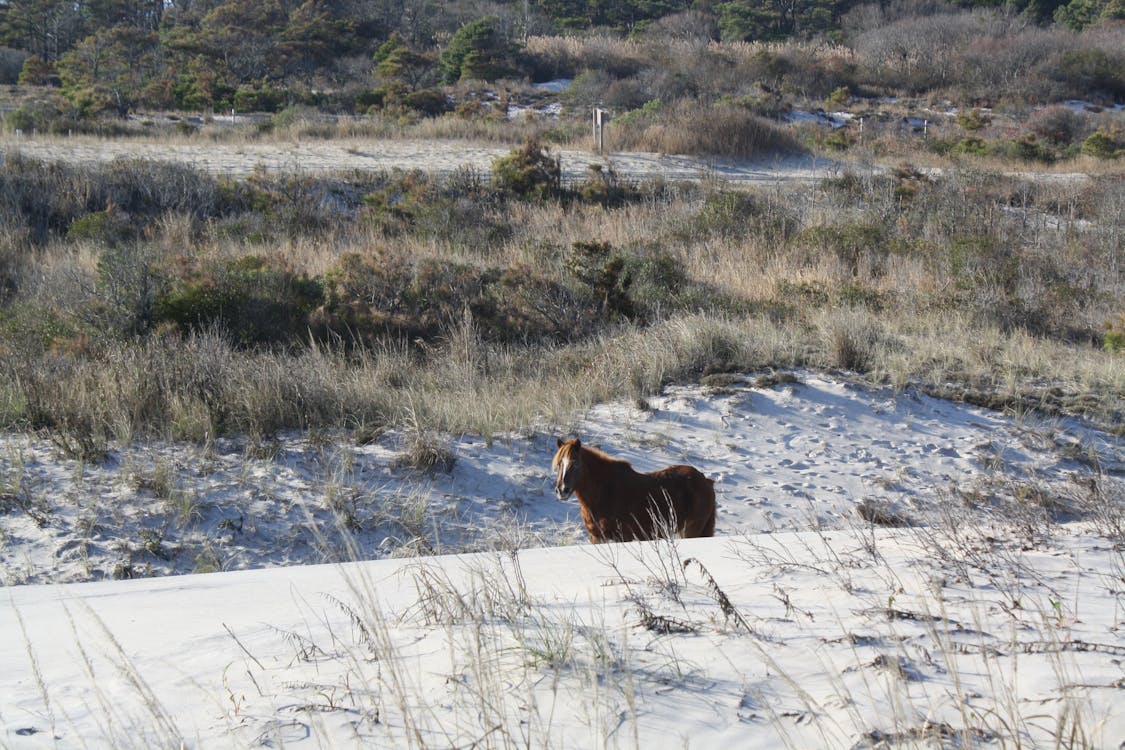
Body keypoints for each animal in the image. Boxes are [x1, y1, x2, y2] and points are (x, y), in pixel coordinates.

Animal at [551, 436, 715, 541]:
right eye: (559, 464)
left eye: (575, 463)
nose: (562, 490)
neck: (604, 492)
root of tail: (705, 481)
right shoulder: (596, 537)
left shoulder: (622, 537)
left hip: (691, 530)